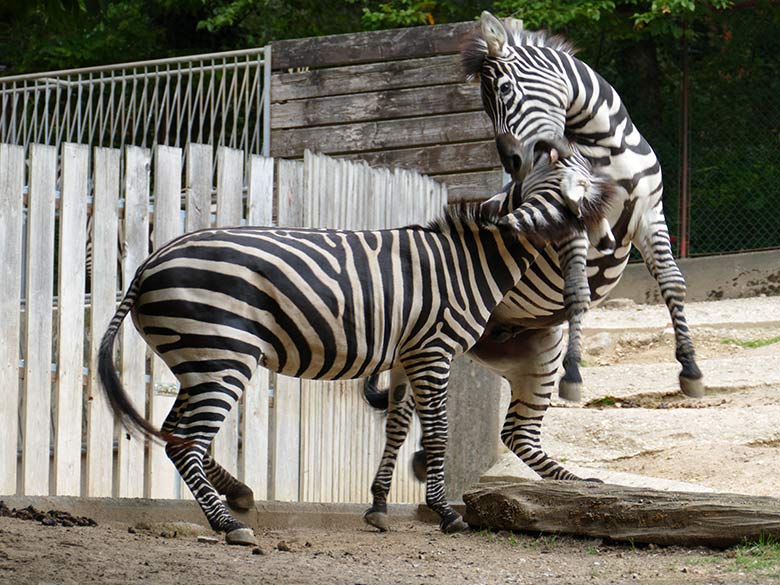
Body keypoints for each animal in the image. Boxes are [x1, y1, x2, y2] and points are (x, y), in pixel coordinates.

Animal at [97, 156, 608, 544]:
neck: (471, 262)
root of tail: (147, 264)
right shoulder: (434, 350)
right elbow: (438, 432)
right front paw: (445, 512)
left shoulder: (406, 355)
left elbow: (397, 428)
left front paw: (378, 506)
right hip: (224, 356)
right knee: (188, 443)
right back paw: (227, 525)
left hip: (197, 359)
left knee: (173, 435)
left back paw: (239, 493)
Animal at [362, 10, 704, 488]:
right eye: (484, 105)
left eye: (504, 91)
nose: (516, 167)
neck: (607, 148)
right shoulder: (569, 223)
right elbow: (578, 292)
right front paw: (576, 373)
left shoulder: (650, 214)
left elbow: (673, 283)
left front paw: (690, 369)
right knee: (412, 418)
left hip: (529, 352)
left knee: (515, 433)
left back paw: (573, 482)